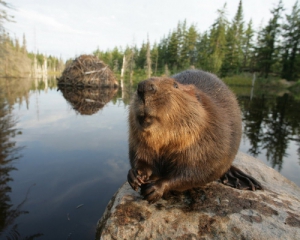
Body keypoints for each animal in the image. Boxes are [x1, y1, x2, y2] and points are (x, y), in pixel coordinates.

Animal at [127, 69, 262, 202]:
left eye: (175, 85)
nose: (144, 87)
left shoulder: (210, 139)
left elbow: (197, 172)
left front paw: (155, 188)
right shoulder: (138, 139)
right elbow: (140, 156)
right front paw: (135, 175)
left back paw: (245, 181)